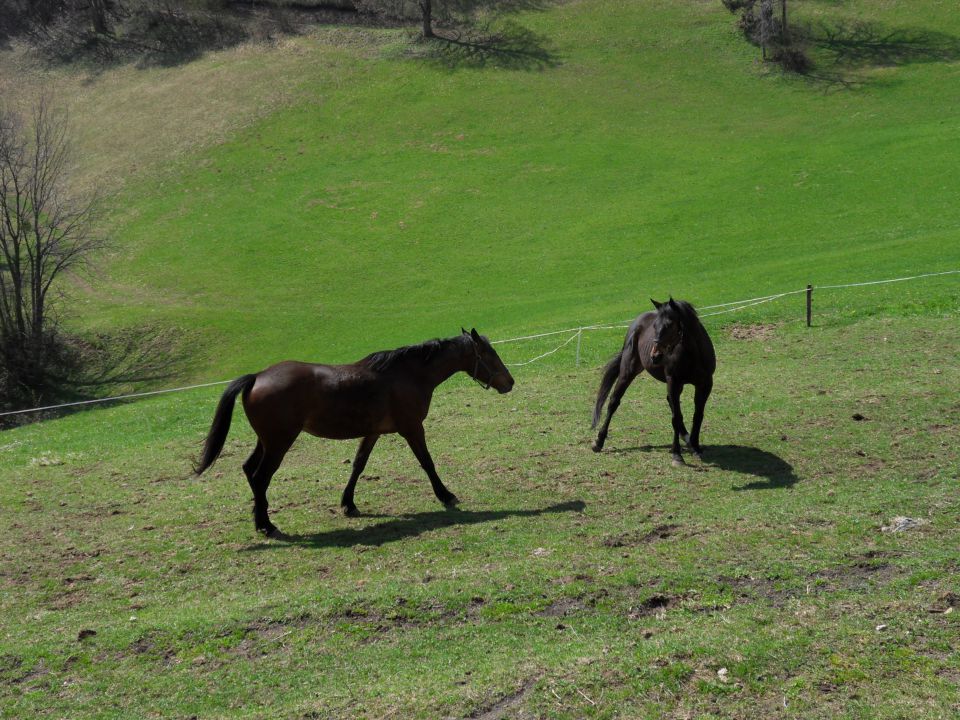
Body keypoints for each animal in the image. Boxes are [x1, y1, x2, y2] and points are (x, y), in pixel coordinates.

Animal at [190, 330, 512, 536]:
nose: (509, 382)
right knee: (260, 477)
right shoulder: (411, 428)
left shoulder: (373, 433)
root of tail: (257, 376)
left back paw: (259, 519)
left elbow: (358, 465)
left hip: (267, 441)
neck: (407, 375)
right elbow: (427, 462)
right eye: (489, 354)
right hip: (279, 442)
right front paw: (446, 495)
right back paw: (267, 525)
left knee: (249, 470)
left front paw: (349, 504)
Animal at [588, 300, 716, 464]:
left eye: (670, 324)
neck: (693, 354)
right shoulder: (673, 382)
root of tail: (636, 323)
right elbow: (676, 417)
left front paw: (696, 447)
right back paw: (599, 441)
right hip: (628, 372)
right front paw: (677, 455)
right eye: (654, 326)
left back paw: (686, 438)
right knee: (613, 402)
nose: (655, 356)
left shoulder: (705, 384)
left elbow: (698, 415)